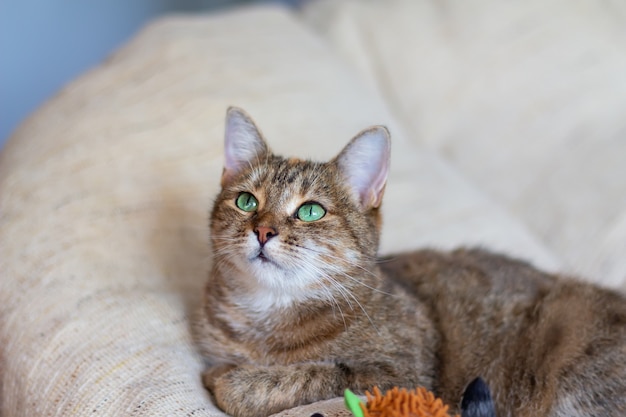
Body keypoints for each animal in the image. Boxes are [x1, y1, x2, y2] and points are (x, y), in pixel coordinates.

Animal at [193, 107, 620, 416]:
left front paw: (231, 379)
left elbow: (305, 376)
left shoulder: (401, 376)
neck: (266, 318)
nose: (263, 231)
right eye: (246, 201)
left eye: (311, 211)